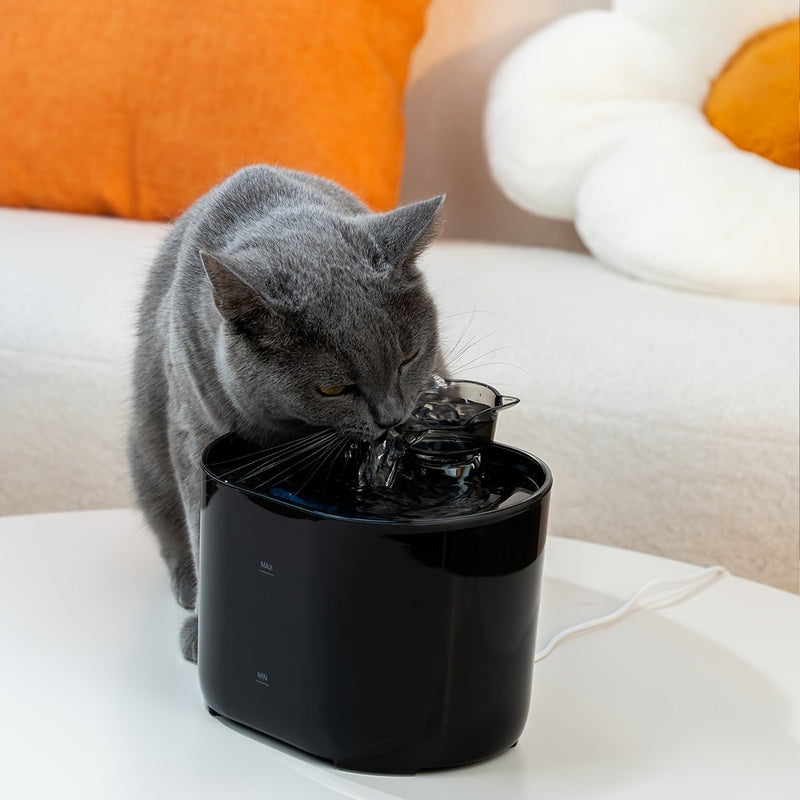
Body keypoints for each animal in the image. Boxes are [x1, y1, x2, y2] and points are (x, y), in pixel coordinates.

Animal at [128, 164, 446, 664]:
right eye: (333, 388)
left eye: (408, 358)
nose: (392, 417)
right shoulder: (192, 431)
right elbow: (201, 527)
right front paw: (204, 632)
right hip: (146, 453)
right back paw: (186, 587)